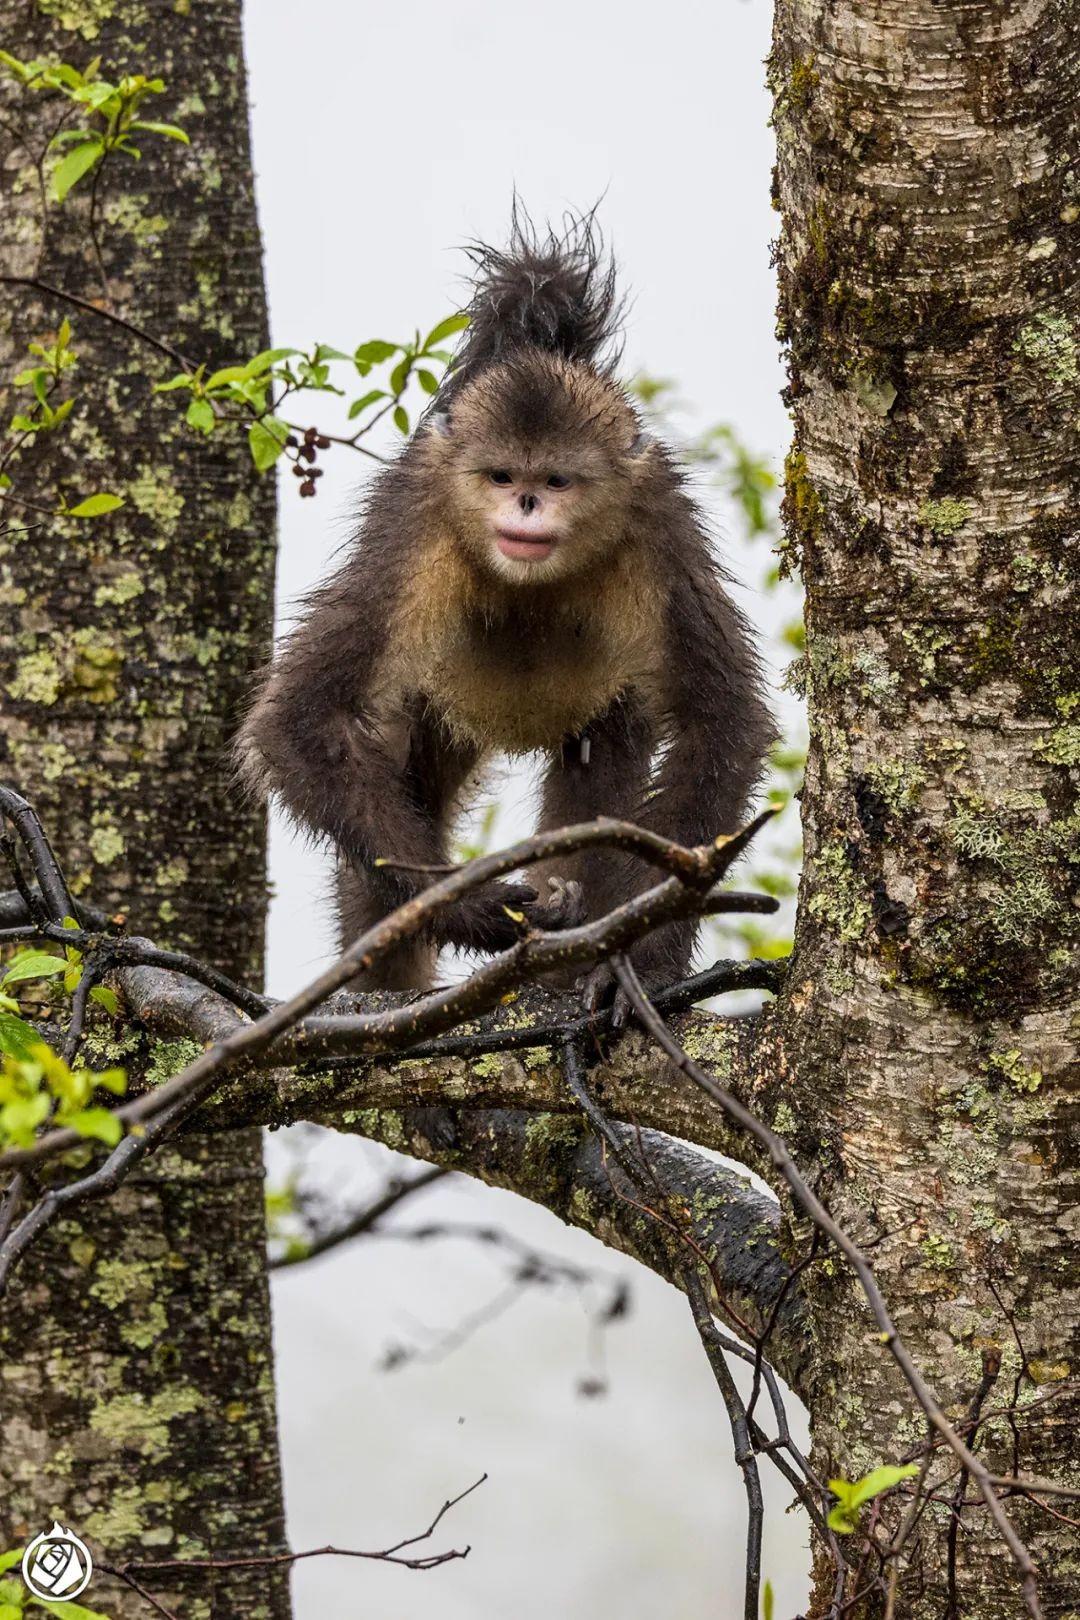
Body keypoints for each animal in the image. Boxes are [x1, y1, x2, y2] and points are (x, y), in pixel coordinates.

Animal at [239, 208, 773, 991]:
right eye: (500, 477)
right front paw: (468, 910)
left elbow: (719, 725)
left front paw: (640, 965)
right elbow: (303, 720)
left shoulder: (659, 523)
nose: (524, 505)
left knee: (602, 763)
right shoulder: (416, 520)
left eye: (554, 481)